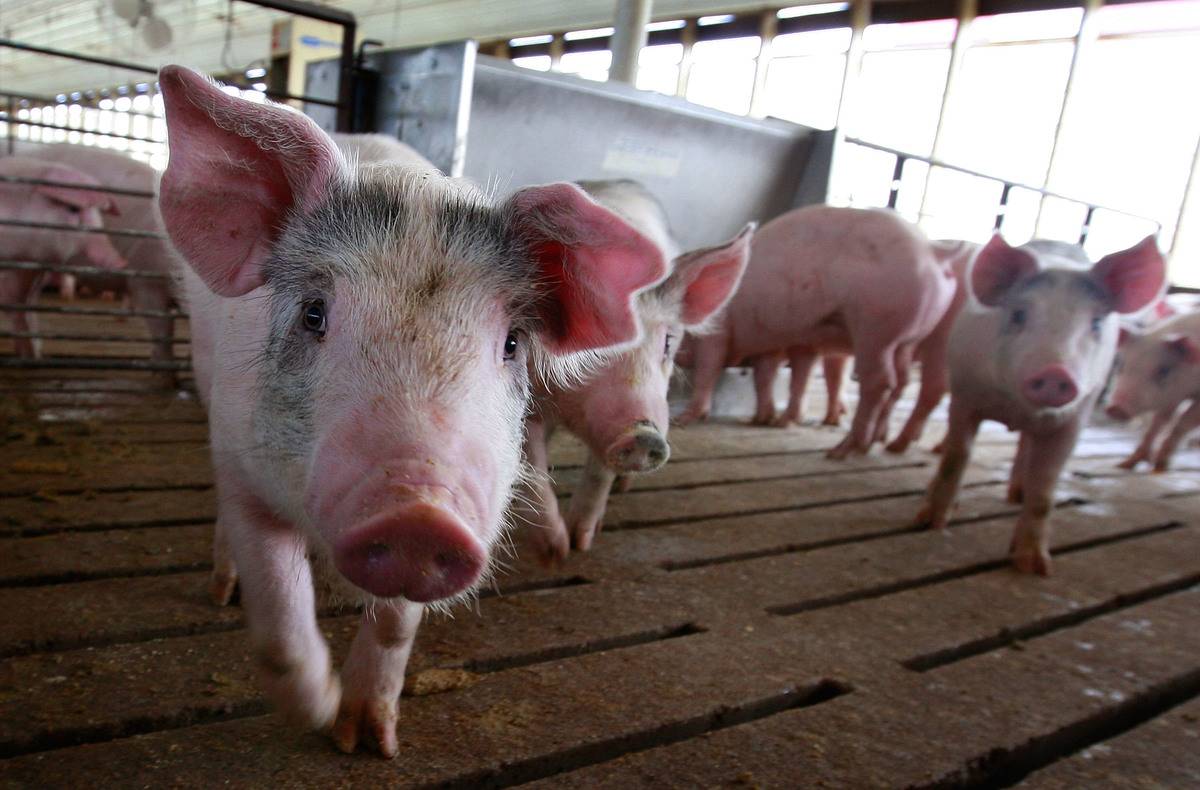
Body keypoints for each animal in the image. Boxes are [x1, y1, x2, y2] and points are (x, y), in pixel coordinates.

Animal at [157, 66, 665, 757]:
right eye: (314, 313)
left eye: (512, 343)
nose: (418, 514)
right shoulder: (243, 466)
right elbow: (279, 620)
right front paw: (320, 712)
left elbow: (397, 626)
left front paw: (368, 743)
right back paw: (221, 591)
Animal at [519, 179, 753, 561]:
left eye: (668, 341)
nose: (644, 435)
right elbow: (532, 467)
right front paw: (554, 552)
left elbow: (599, 474)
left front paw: (581, 542)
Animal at [678, 206, 956, 459]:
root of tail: (932, 251)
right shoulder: (775, 342)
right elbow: (767, 376)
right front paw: (763, 418)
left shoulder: (718, 334)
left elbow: (707, 370)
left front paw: (687, 418)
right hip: (906, 340)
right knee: (902, 381)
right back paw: (877, 443)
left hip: (877, 330)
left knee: (881, 381)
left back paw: (842, 451)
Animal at [915, 235, 1165, 575]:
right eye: (1019, 314)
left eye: (1096, 323)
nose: (1055, 372)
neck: (1017, 408)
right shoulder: (965, 394)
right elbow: (956, 456)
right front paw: (930, 524)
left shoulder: (1073, 419)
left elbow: (1045, 487)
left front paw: (1035, 567)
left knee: (1026, 449)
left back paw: (1017, 495)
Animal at [1106, 310, 1200, 471]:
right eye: (1121, 365)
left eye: (1163, 371)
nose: (1115, 408)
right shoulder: (1172, 396)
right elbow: (1158, 421)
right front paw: (1123, 465)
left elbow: (1184, 421)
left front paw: (1160, 468)